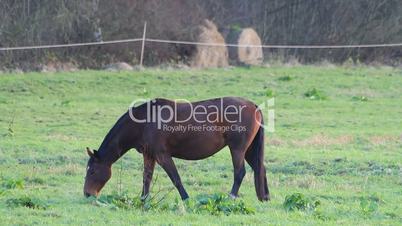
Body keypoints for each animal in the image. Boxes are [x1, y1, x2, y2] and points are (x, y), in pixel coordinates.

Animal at [83, 97, 268, 201]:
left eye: (92, 171)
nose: (87, 194)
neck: (145, 122)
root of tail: (254, 106)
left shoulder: (162, 155)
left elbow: (176, 178)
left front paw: (186, 198)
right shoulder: (149, 155)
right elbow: (146, 178)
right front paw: (143, 199)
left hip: (237, 149)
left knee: (240, 172)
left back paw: (231, 197)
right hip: (249, 150)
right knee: (260, 168)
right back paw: (264, 197)